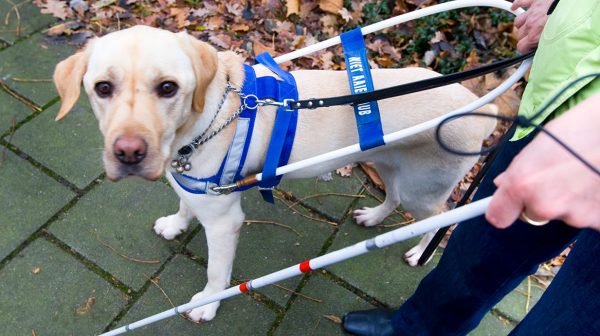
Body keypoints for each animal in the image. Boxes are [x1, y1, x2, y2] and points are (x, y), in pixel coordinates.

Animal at [54, 25, 494, 322]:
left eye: (168, 87)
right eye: (102, 88)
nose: (128, 153)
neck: (207, 120)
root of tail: (484, 107)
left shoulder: (224, 222)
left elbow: (217, 271)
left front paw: (207, 305)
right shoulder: (193, 187)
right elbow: (184, 205)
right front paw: (175, 225)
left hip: (425, 189)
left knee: (441, 220)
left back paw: (419, 251)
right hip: (388, 162)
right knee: (395, 196)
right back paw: (373, 217)